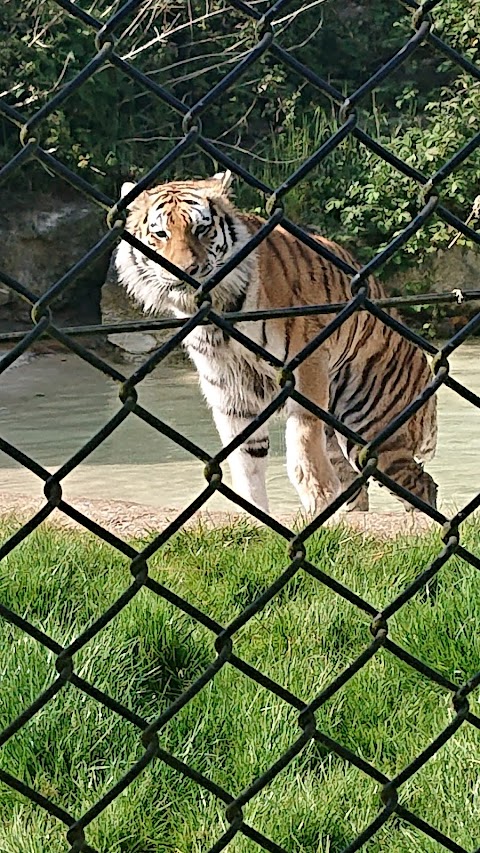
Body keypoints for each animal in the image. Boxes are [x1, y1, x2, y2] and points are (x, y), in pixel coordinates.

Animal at [114, 171, 436, 512]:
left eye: (201, 229)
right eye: (161, 234)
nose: (185, 271)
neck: (216, 318)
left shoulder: (306, 364)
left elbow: (304, 438)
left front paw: (317, 493)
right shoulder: (230, 392)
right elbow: (246, 462)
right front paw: (255, 512)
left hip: (371, 423)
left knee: (421, 484)